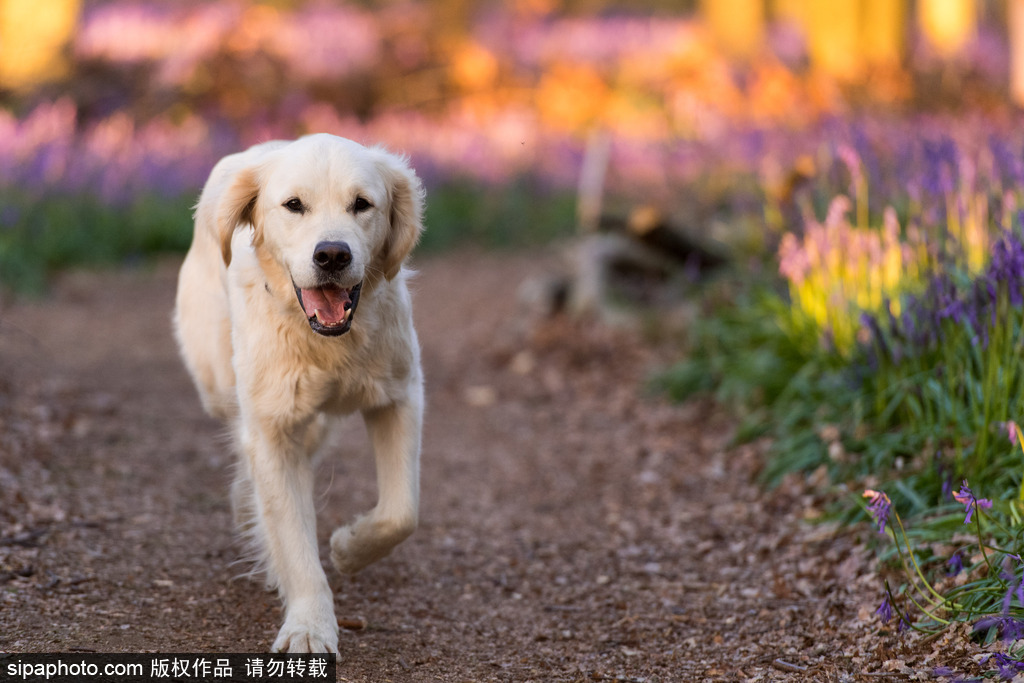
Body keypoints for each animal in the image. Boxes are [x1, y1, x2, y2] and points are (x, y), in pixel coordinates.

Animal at [172, 133, 423, 651]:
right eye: (294, 205)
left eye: (362, 204)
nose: (332, 255)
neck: (327, 341)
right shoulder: (272, 431)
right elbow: (293, 535)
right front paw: (309, 627)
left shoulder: (401, 395)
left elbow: (400, 512)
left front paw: (349, 547)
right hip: (220, 384)